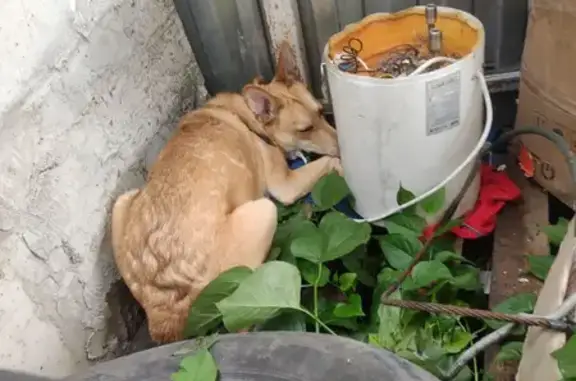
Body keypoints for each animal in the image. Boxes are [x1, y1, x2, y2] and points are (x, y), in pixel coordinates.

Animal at [110, 40, 340, 342]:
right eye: (306, 129)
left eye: (320, 112)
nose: (342, 142)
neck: (249, 116)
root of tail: (165, 299)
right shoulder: (285, 184)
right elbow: (327, 162)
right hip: (263, 214)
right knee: (241, 320)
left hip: (122, 202)